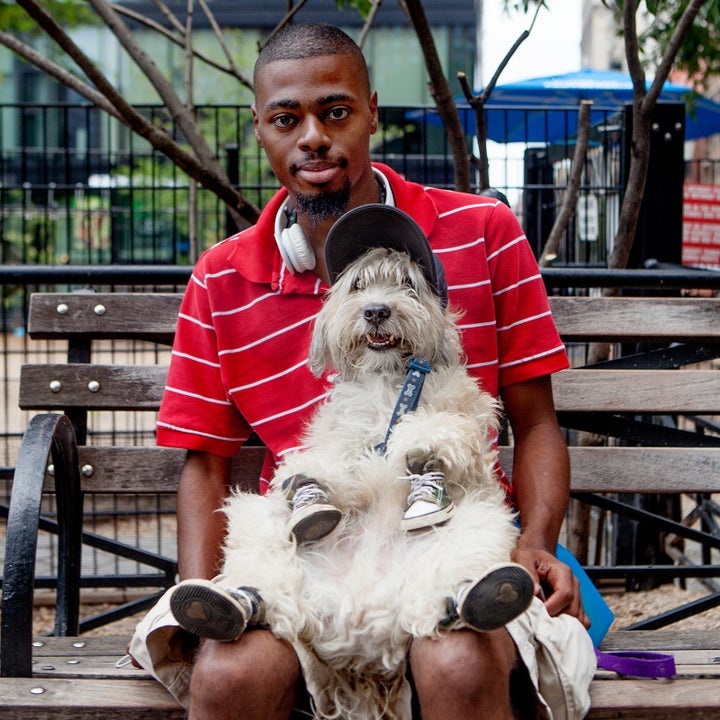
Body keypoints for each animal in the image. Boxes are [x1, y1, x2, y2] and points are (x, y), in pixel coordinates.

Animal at [211, 238, 524, 720]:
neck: (390, 380)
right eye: (358, 285)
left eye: (407, 284)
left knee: (452, 587)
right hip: (260, 532)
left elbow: (444, 430)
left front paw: (420, 446)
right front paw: (311, 482)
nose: (377, 311)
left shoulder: (462, 419)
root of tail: (360, 629)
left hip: (477, 527)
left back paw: (481, 595)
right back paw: (225, 605)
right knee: (269, 593)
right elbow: (328, 461)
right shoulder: (340, 435)